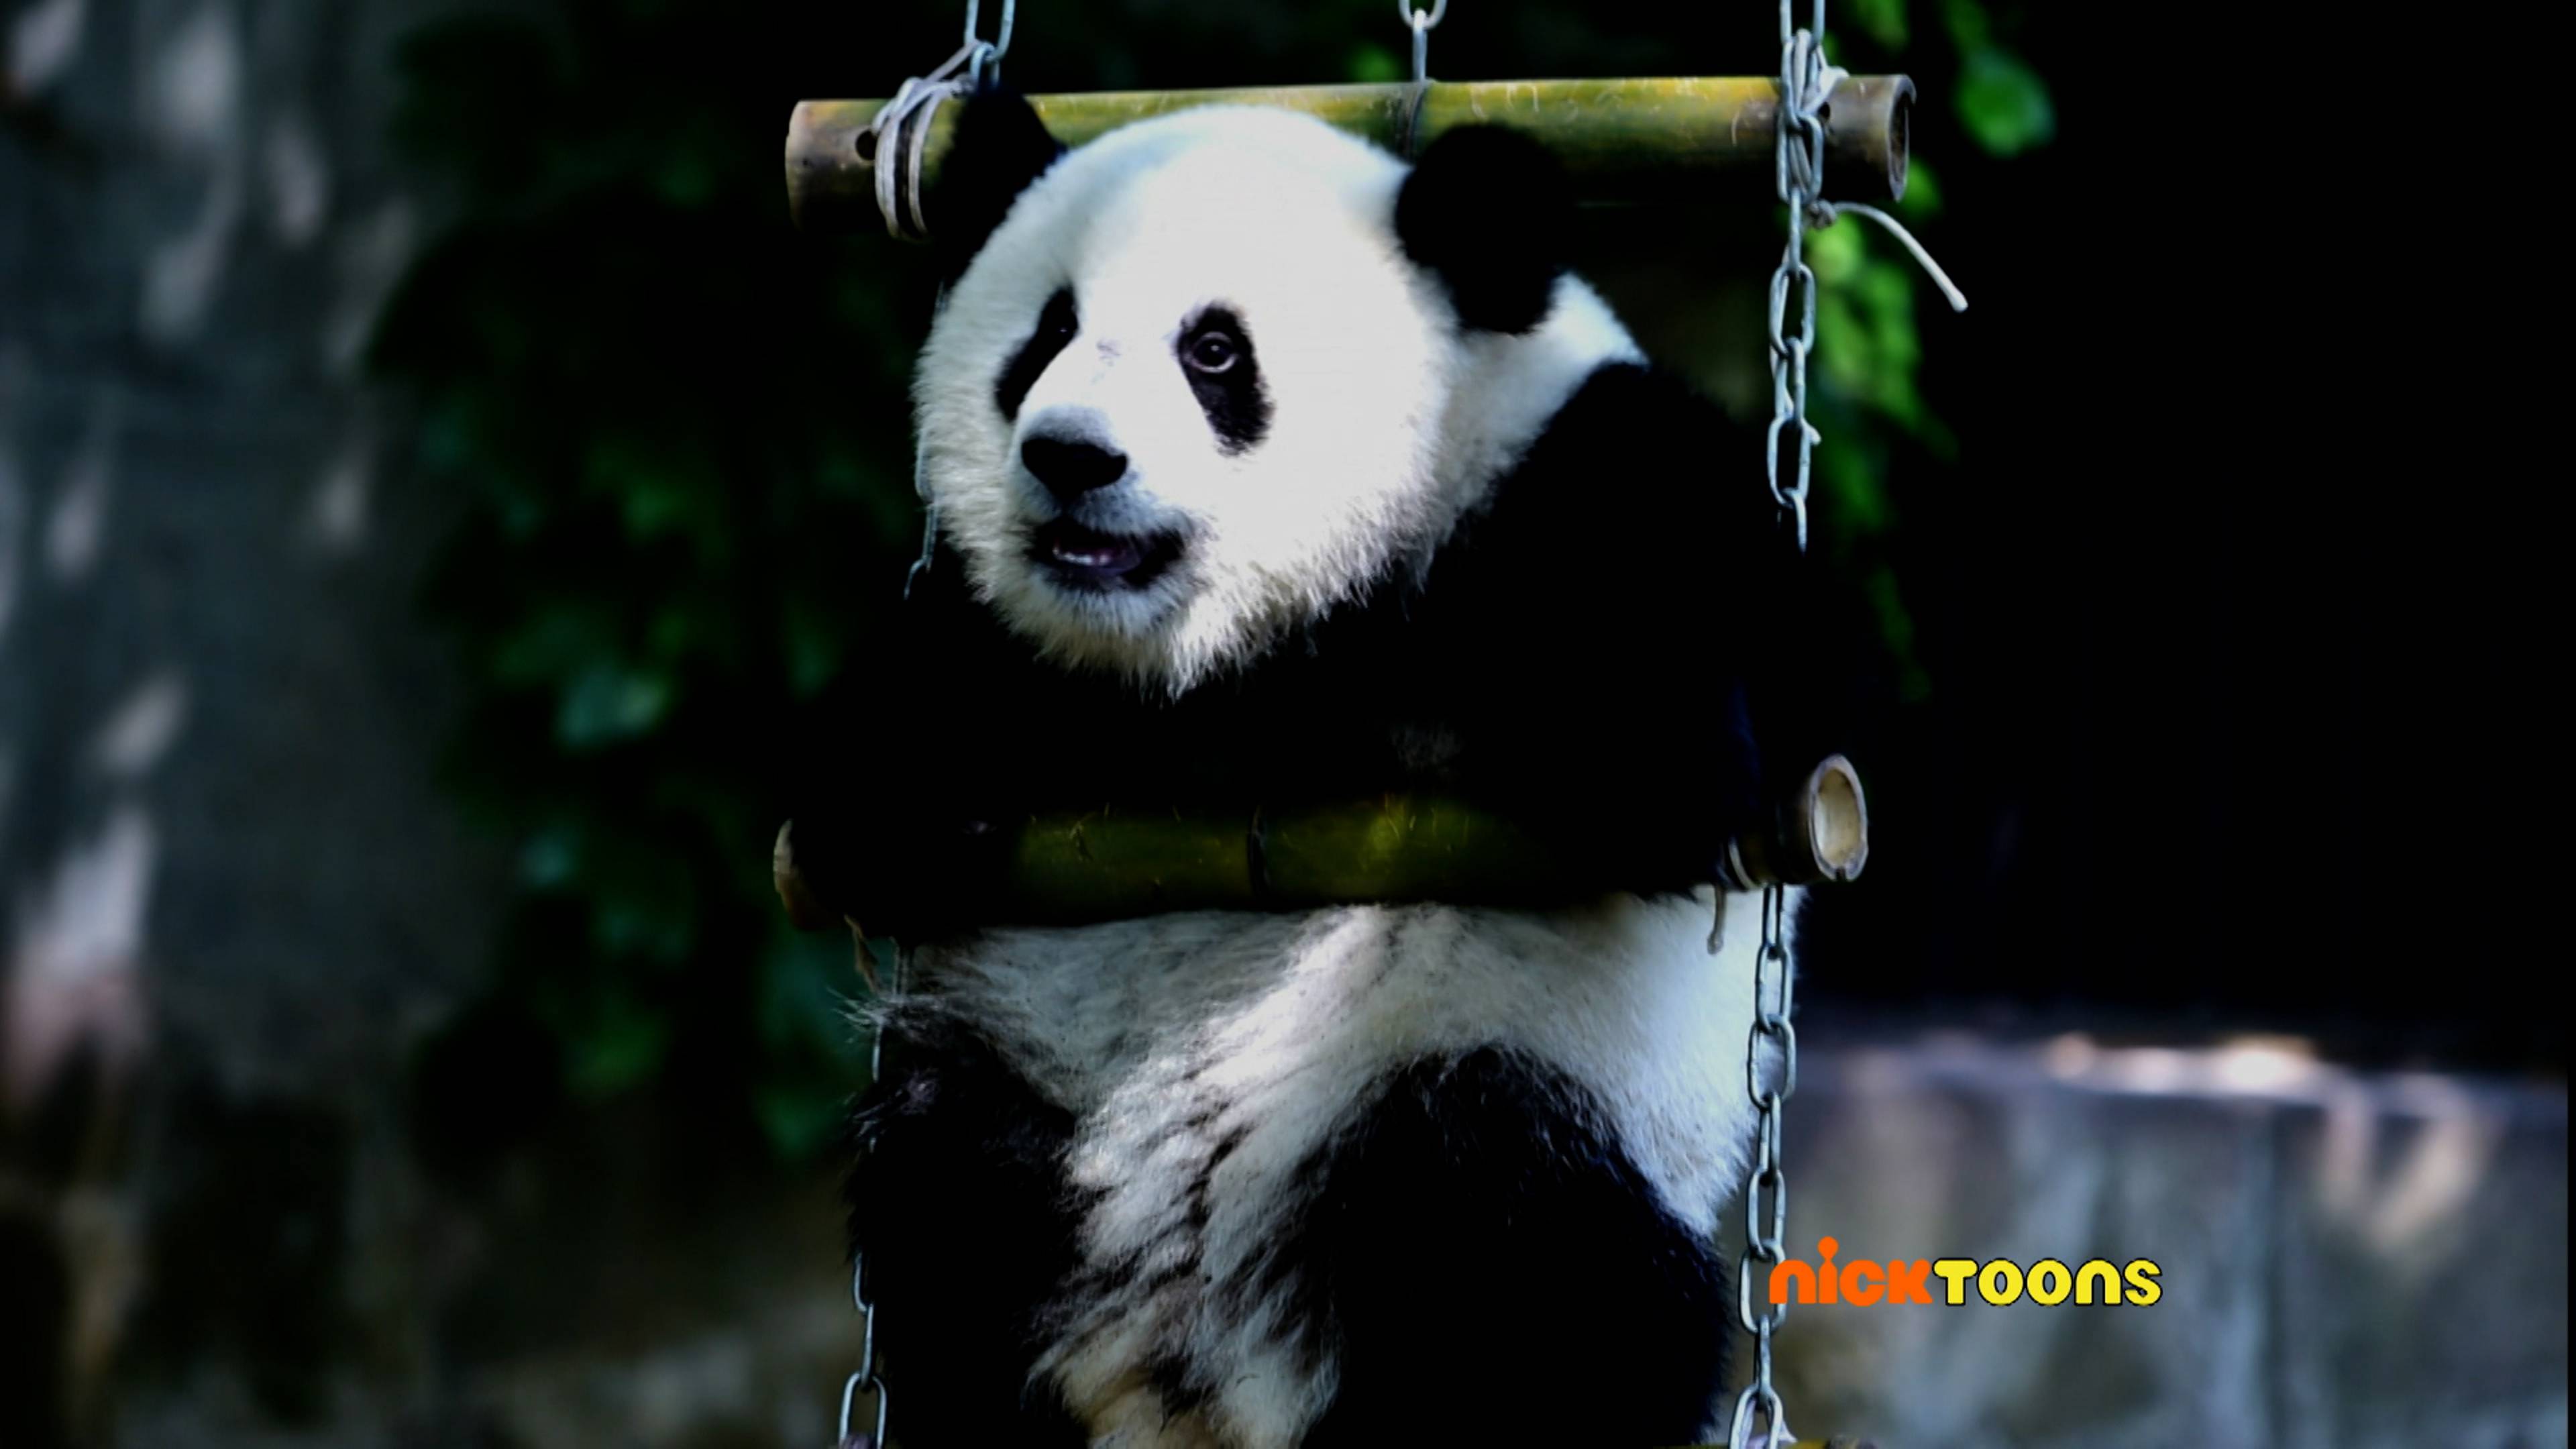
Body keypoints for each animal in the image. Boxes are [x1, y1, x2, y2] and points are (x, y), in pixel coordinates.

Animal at [788, 84, 1841, 1449]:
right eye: (1049, 333)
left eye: (1214, 353)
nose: (1070, 458)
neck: (1250, 656)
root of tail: (1200, 1380)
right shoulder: (1035, 658)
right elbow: (936, 684)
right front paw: (887, 818)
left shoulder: (1540, 484)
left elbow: (1748, 639)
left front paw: (1659, 768)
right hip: (1024, 1095)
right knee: (945, 1228)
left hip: (1491, 1080)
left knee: (1536, 1284)